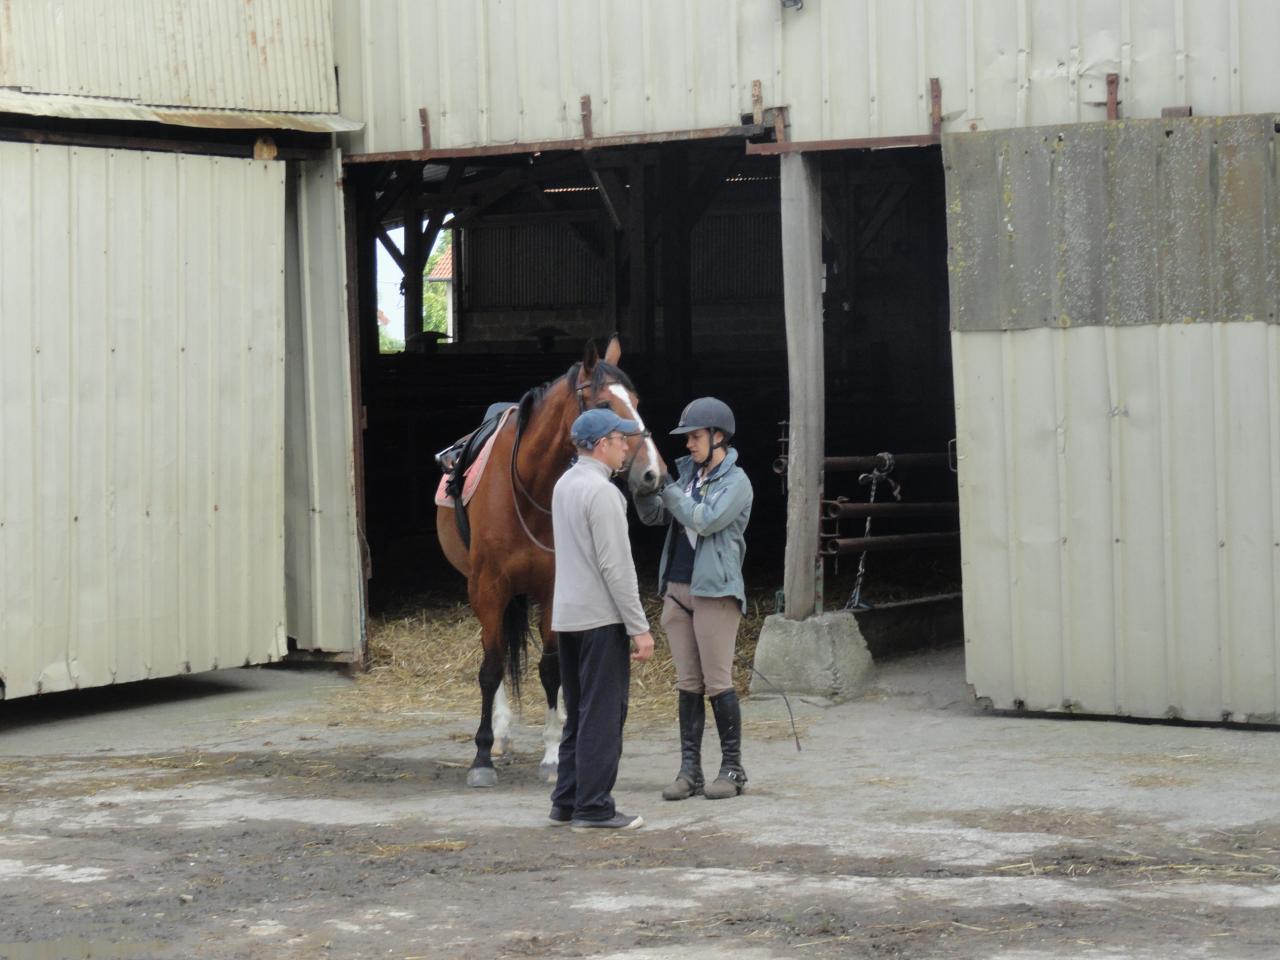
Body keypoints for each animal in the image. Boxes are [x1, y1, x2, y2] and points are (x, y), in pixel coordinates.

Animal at [435, 337, 665, 788]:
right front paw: (482, 756)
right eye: (605, 405)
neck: (527, 488)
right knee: (495, 656)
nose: (653, 473)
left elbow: (551, 670)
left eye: (636, 402)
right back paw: (501, 736)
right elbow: (490, 668)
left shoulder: (555, 587)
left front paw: (554, 753)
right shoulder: (488, 588)